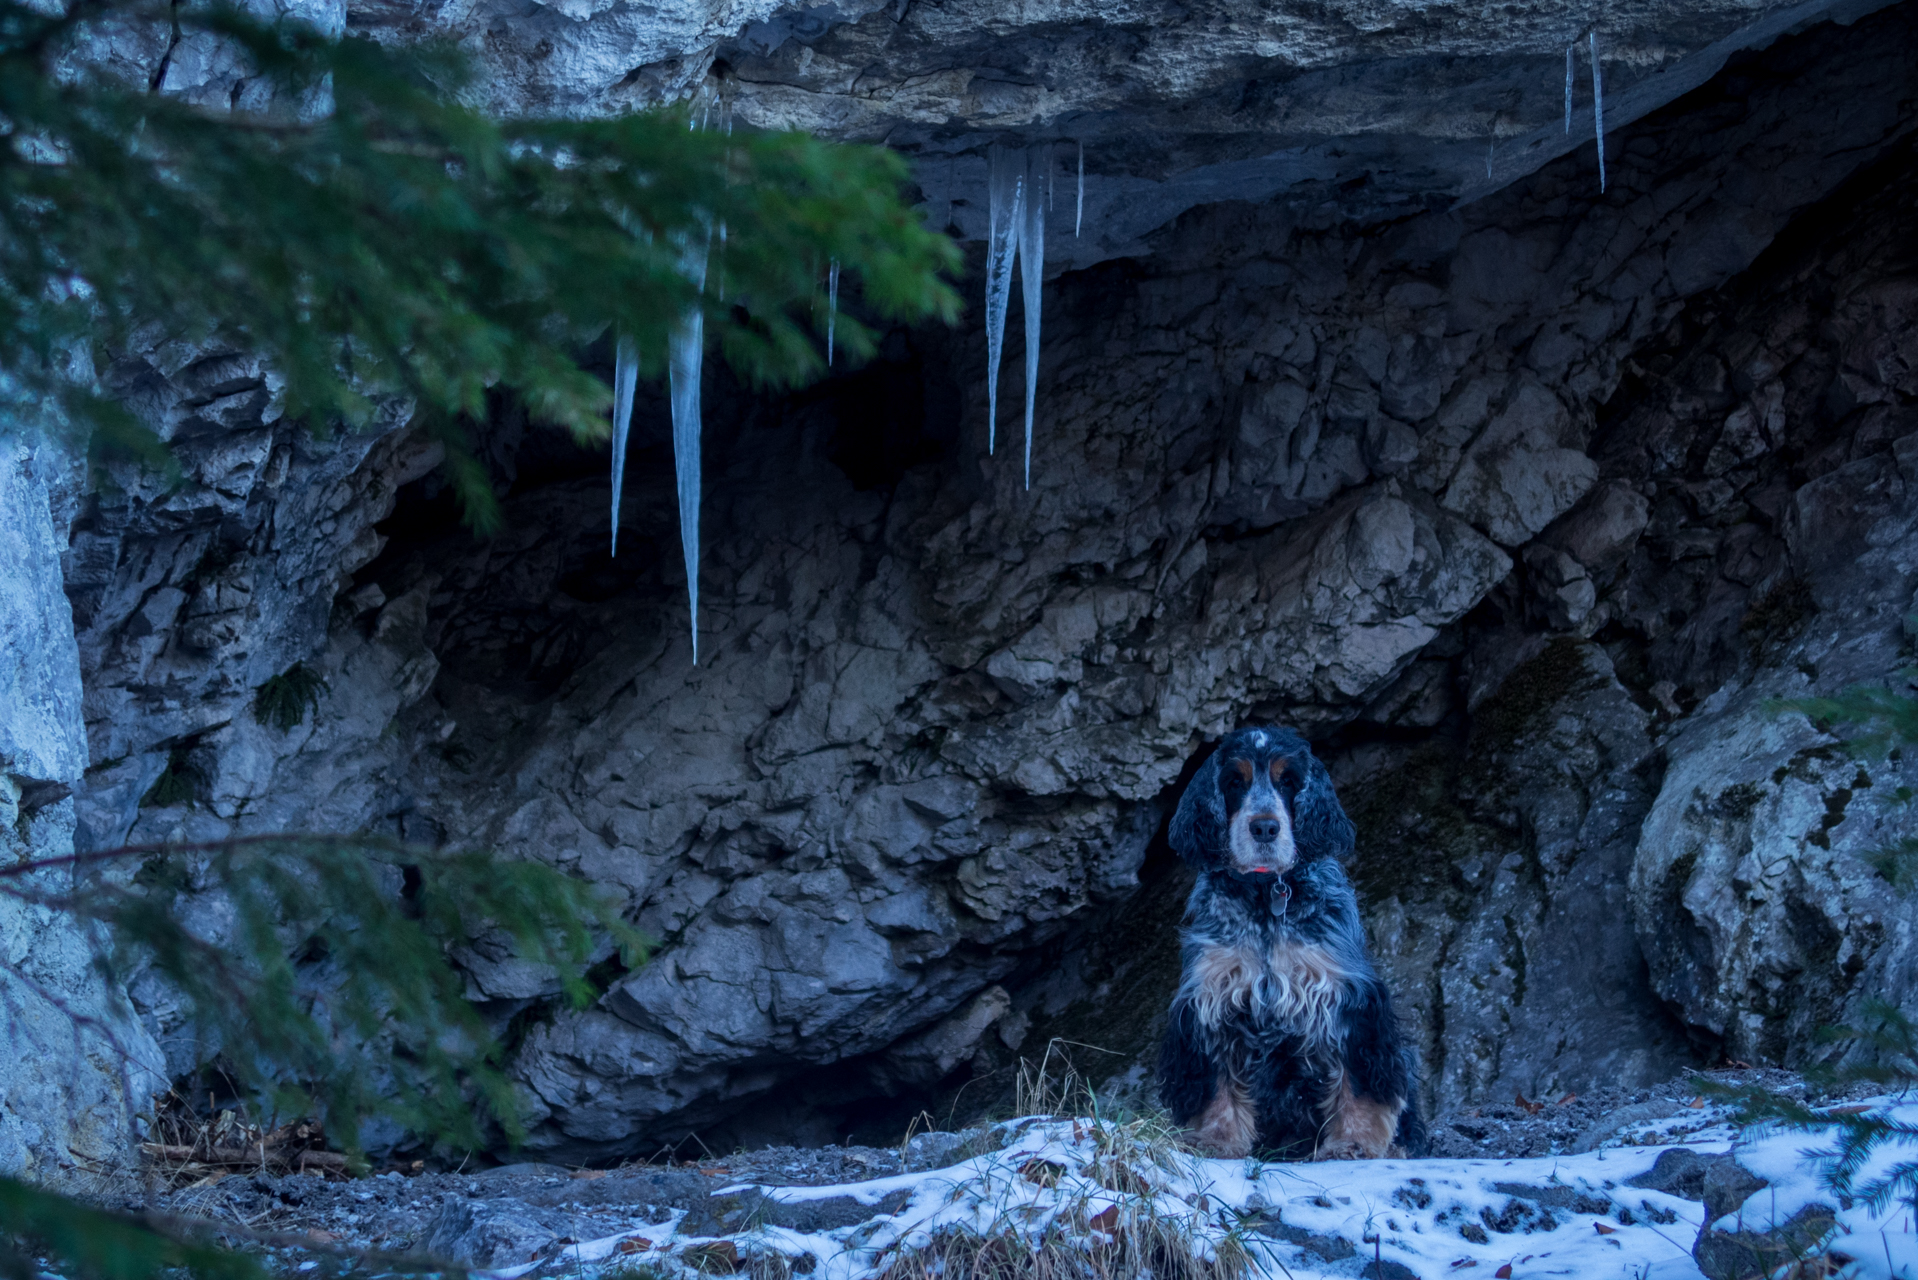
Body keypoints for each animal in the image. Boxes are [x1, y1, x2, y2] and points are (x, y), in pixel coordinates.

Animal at [1150, 729, 1426, 1159]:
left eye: (1289, 780)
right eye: (1234, 781)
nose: (1265, 827)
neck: (1266, 895)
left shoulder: (1348, 997)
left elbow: (1359, 1083)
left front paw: (1353, 1143)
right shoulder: (1210, 998)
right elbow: (1216, 1085)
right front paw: (1216, 1140)